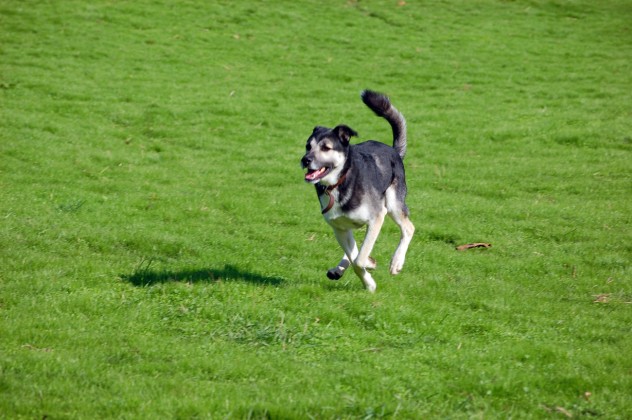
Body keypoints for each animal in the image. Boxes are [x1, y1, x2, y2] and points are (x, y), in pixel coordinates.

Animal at [302, 89, 414, 292]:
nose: (305, 160)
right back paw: (338, 269)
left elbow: (359, 259)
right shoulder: (339, 228)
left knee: (408, 228)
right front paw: (368, 277)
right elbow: (355, 257)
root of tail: (394, 150)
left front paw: (369, 275)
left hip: (393, 204)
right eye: (308, 146)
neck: (339, 183)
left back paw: (396, 262)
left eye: (326, 148)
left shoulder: (377, 216)